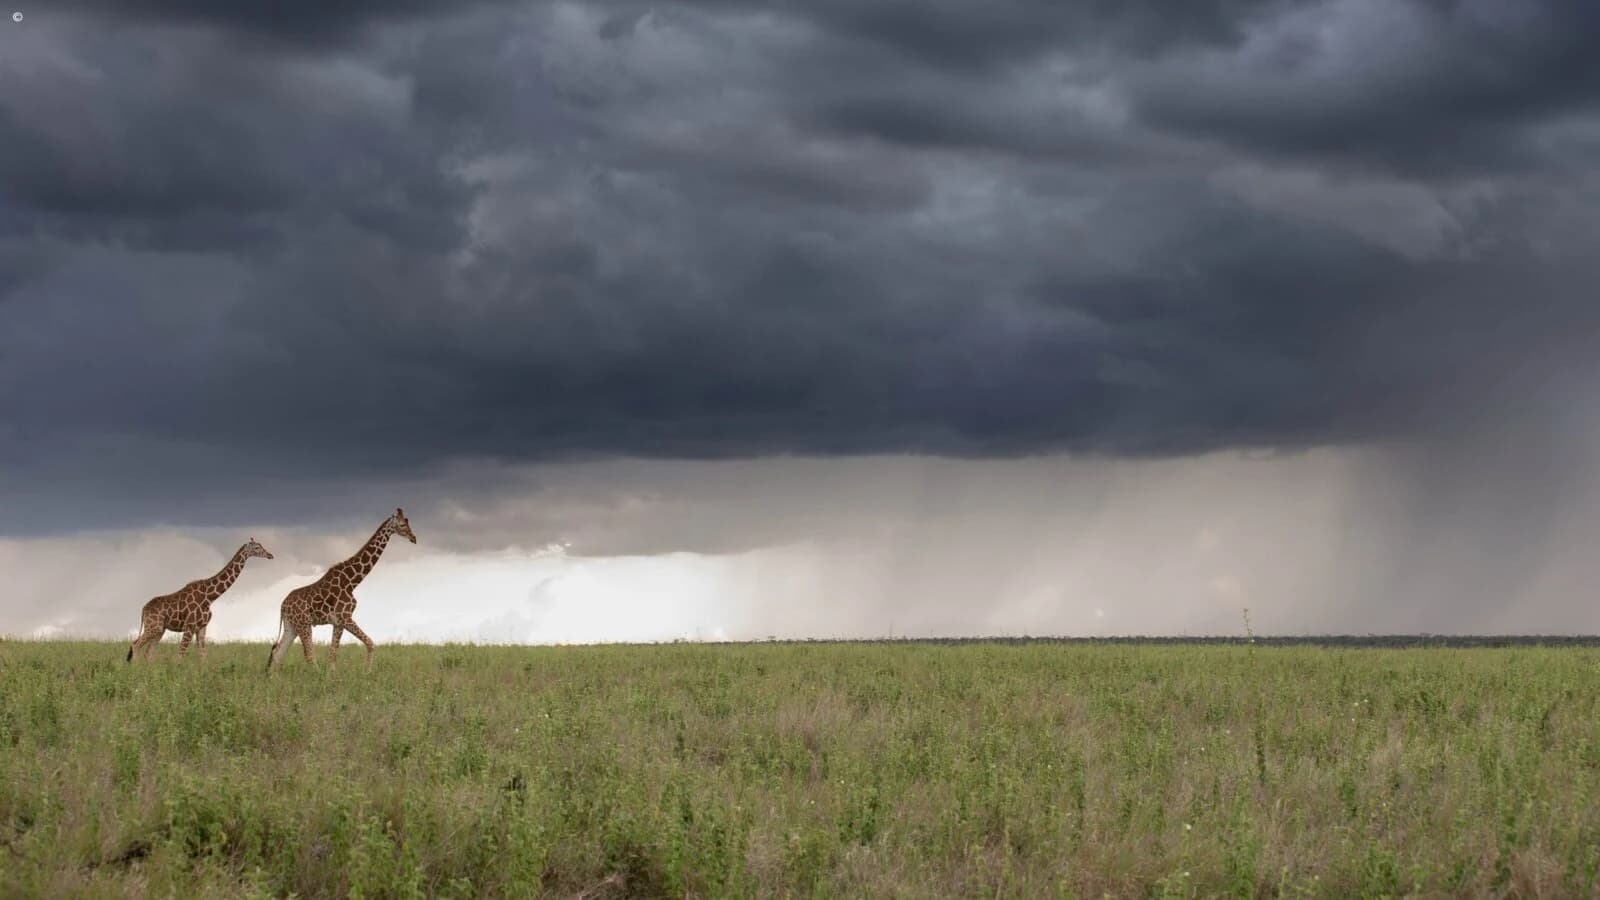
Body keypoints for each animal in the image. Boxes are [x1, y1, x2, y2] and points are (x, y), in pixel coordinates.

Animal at [126, 538, 275, 663]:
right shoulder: (189, 626)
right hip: (153, 627)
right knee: (135, 645)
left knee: (149, 653)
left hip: (160, 629)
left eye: (261, 545)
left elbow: (203, 656)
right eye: (256, 547)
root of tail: (144, 608)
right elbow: (180, 655)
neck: (210, 597)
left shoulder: (202, 627)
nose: (270, 555)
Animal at [266, 508, 417, 670]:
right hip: (304, 624)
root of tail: (282, 606)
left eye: (408, 521)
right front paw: (367, 671)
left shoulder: (339, 622)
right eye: (402, 525)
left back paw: (274, 677)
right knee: (308, 656)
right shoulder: (345, 617)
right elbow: (368, 644)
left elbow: (334, 653)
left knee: (278, 653)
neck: (352, 582)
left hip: (291, 626)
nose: (413, 538)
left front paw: (342, 673)